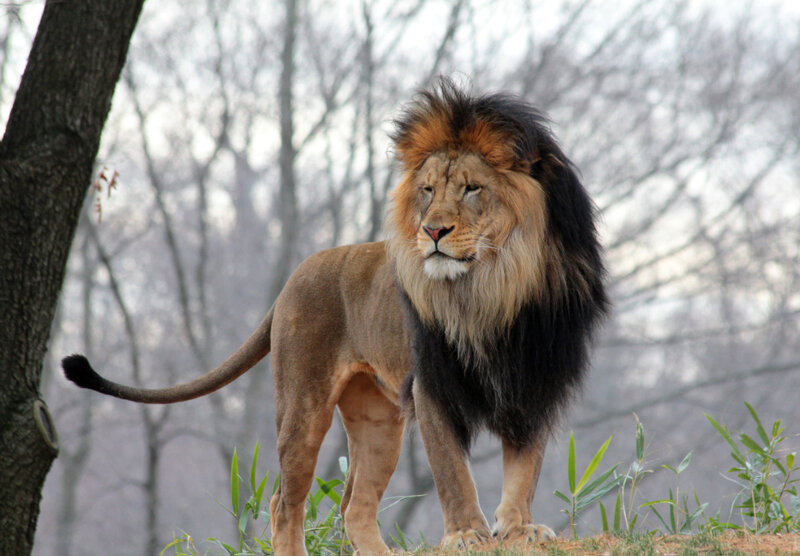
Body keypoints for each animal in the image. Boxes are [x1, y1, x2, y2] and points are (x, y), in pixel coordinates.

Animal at [63, 80, 608, 555]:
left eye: (473, 189)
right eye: (428, 191)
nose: (433, 231)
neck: (492, 289)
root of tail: (292, 278)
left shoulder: (535, 379)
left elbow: (525, 467)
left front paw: (519, 529)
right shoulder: (432, 385)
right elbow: (453, 471)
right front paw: (466, 535)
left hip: (378, 419)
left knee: (354, 506)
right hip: (303, 405)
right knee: (285, 503)